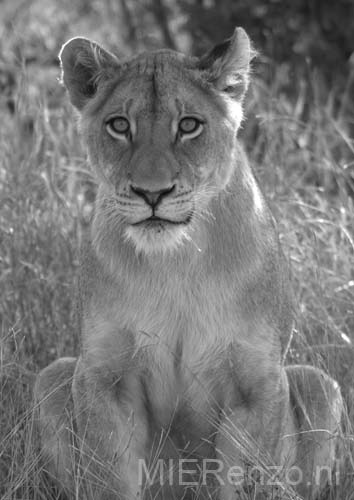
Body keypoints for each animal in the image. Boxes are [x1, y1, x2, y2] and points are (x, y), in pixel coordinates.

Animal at [34, 28, 342, 500]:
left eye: (189, 125)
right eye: (119, 125)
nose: (152, 193)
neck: (175, 264)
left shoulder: (257, 384)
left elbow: (246, 477)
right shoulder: (104, 377)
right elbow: (110, 476)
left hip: (317, 383)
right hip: (56, 375)